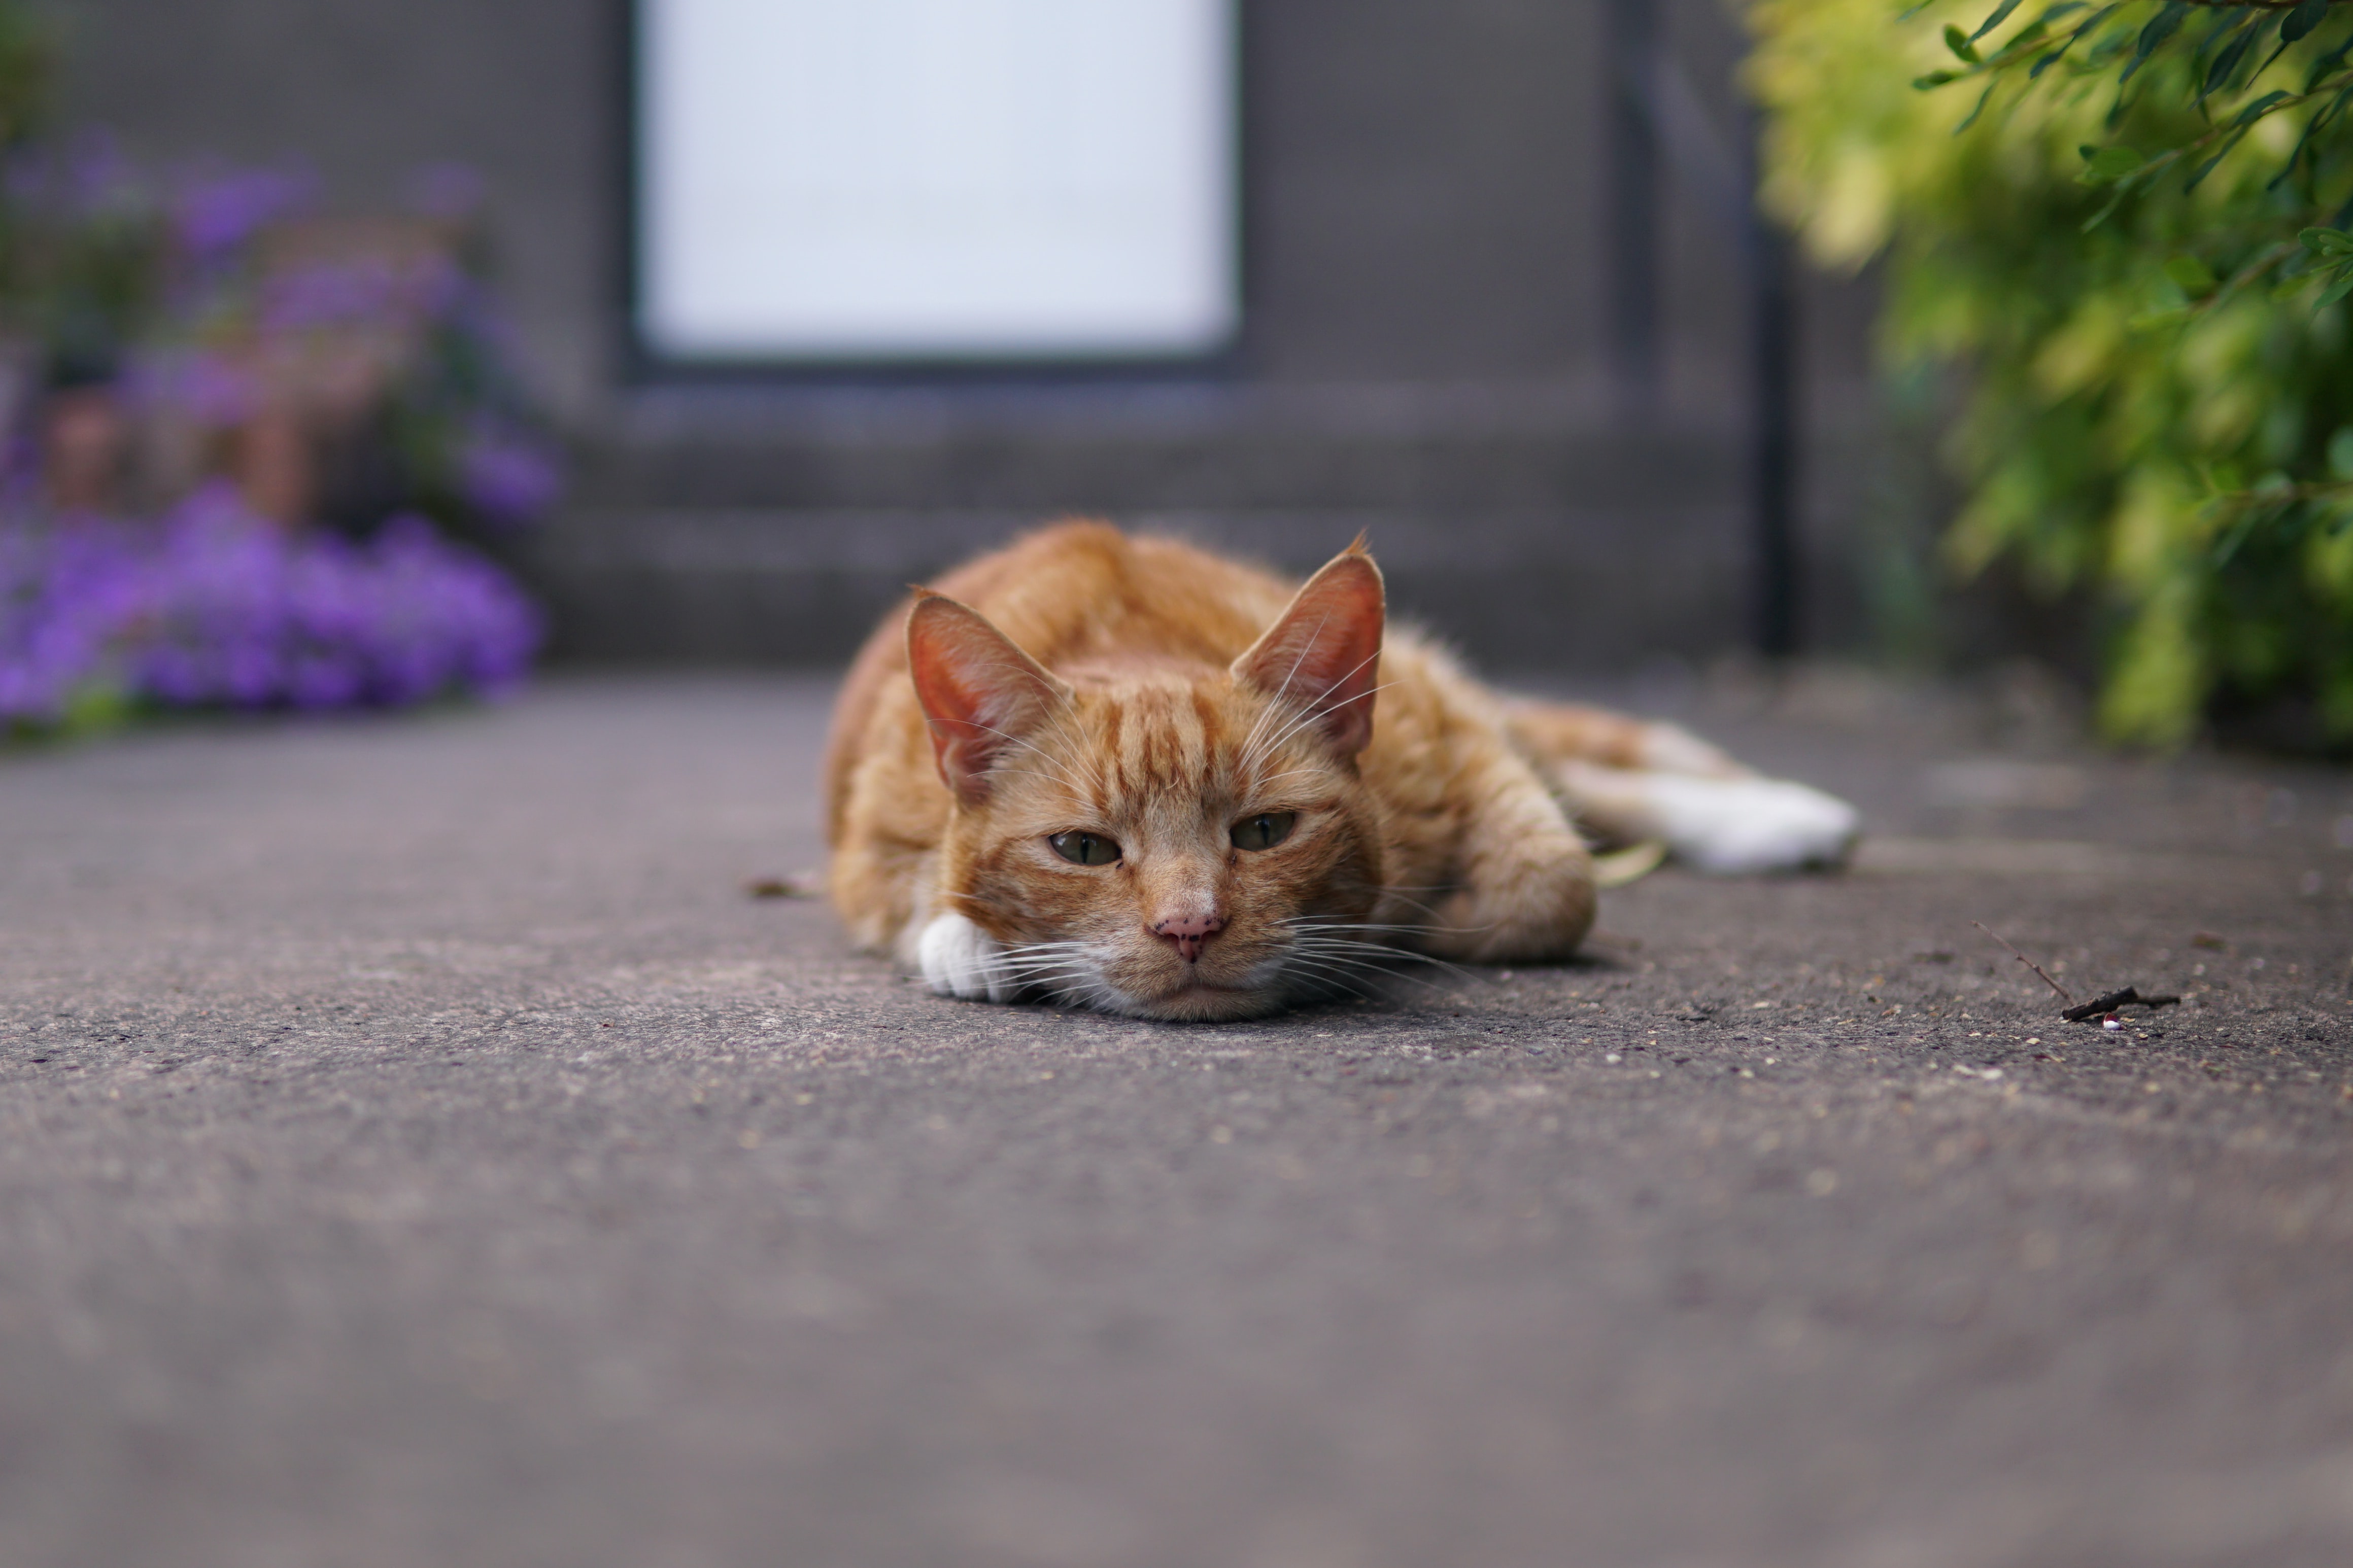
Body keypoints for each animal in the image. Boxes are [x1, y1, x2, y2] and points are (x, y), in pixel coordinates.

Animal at [828, 521, 1854, 1025]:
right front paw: (968, 938)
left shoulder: (1448, 733)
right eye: (1083, 849)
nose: (1190, 929)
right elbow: (916, 886)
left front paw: (1428, 921)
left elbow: (1552, 882)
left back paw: (1776, 816)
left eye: (1263, 831)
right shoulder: (864, 836)